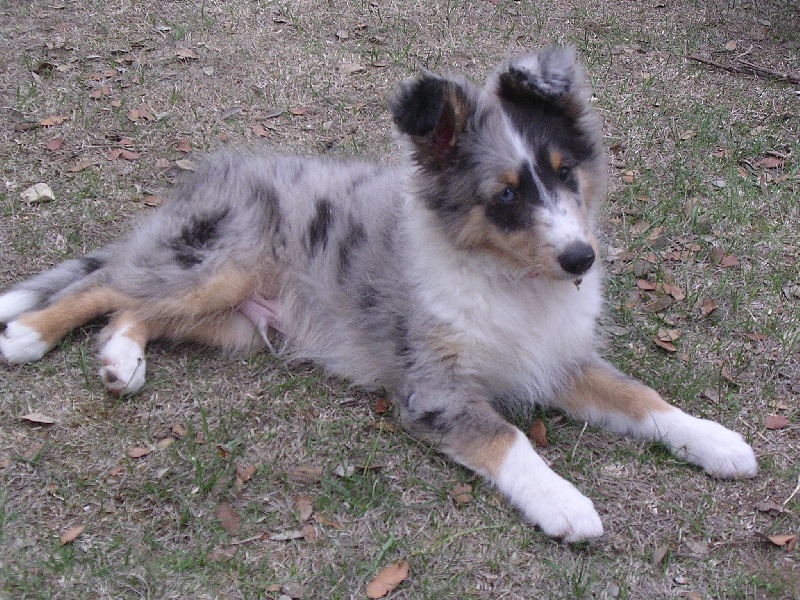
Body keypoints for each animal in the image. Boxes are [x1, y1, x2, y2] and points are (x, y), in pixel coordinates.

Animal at [0, 49, 756, 540]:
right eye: (505, 196)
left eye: (566, 172)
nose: (581, 257)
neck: (508, 281)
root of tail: (212, 174)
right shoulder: (435, 388)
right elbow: (509, 438)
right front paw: (565, 503)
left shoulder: (559, 357)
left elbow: (642, 398)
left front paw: (717, 441)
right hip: (220, 264)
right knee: (106, 283)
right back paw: (28, 334)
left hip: (233, 321)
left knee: (135, 307)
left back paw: (121, 361)